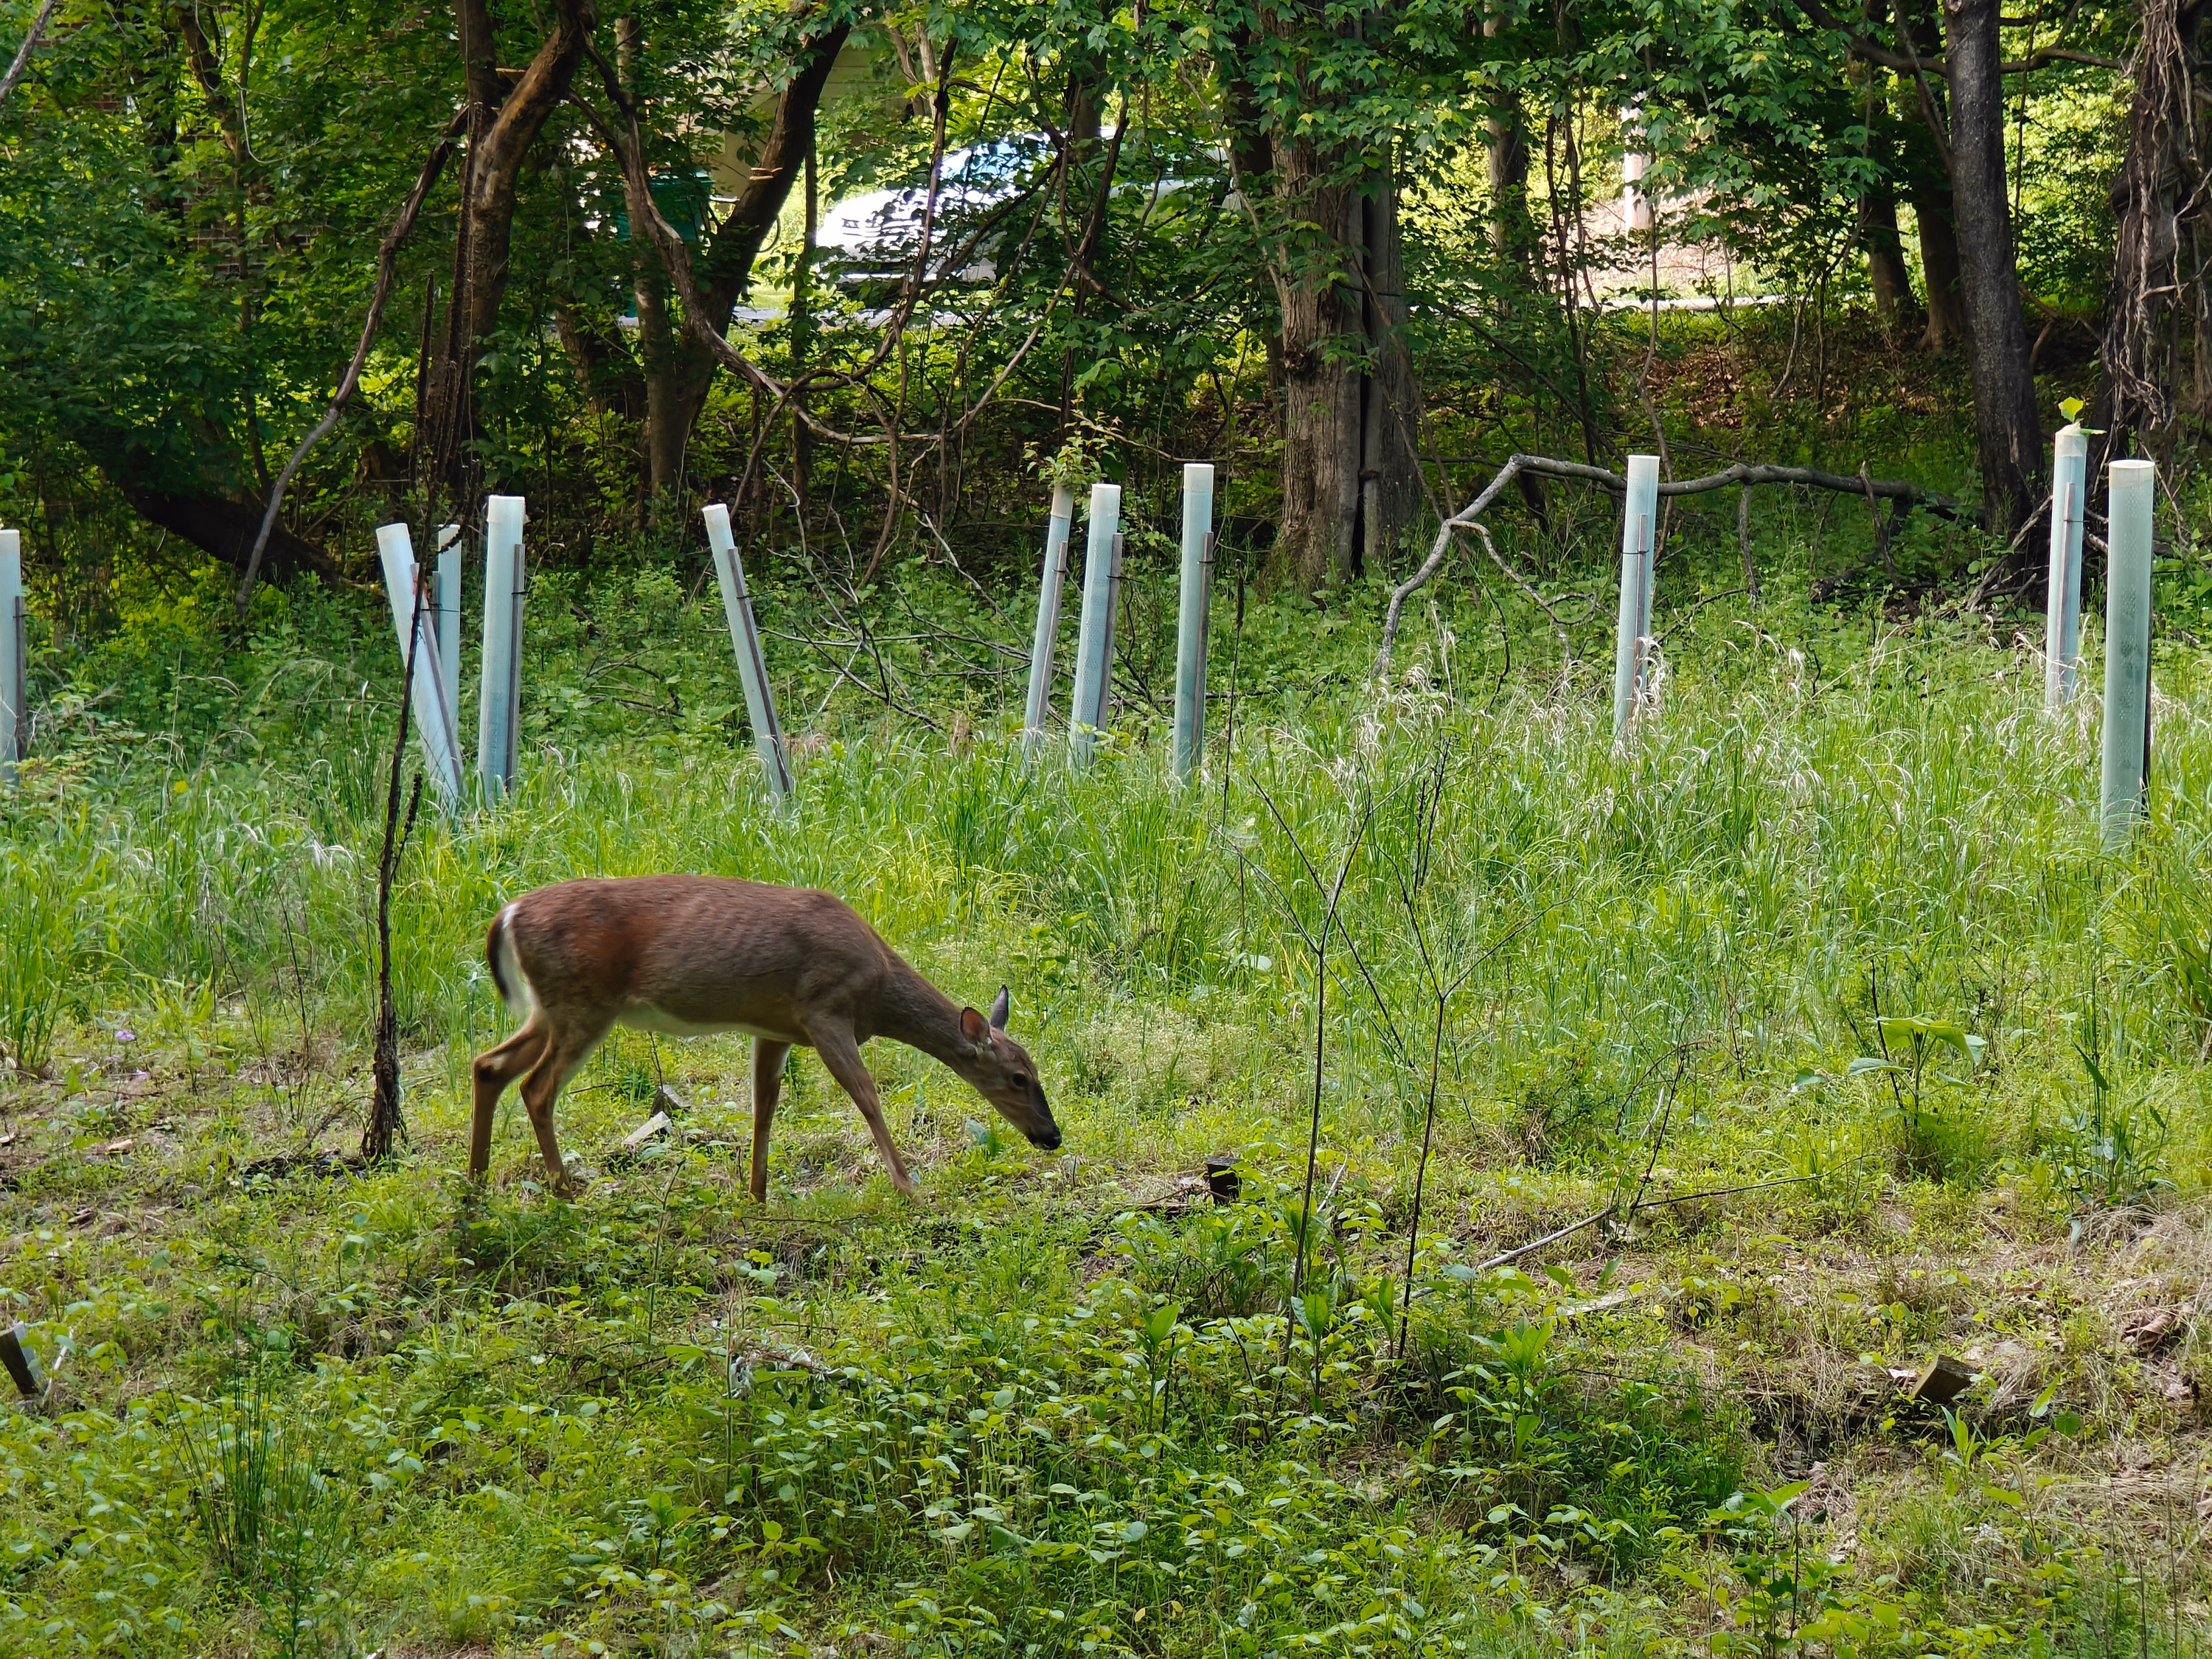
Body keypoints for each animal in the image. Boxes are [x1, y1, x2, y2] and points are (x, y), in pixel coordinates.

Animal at [468, 875, 1060, 1198]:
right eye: (1018, 1077)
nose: (1052, 1136)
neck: (878, 991)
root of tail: (507, 914)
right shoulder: (824, 1010)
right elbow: (867, 1097)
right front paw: (909, 1189)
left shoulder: (776, 1028)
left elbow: (764, 1109)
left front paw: (757, 1195)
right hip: (583, 1003)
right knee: (536, 1087)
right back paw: (565, 1192)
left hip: (550, 1008)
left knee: (489, 1065)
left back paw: (476, 1184)